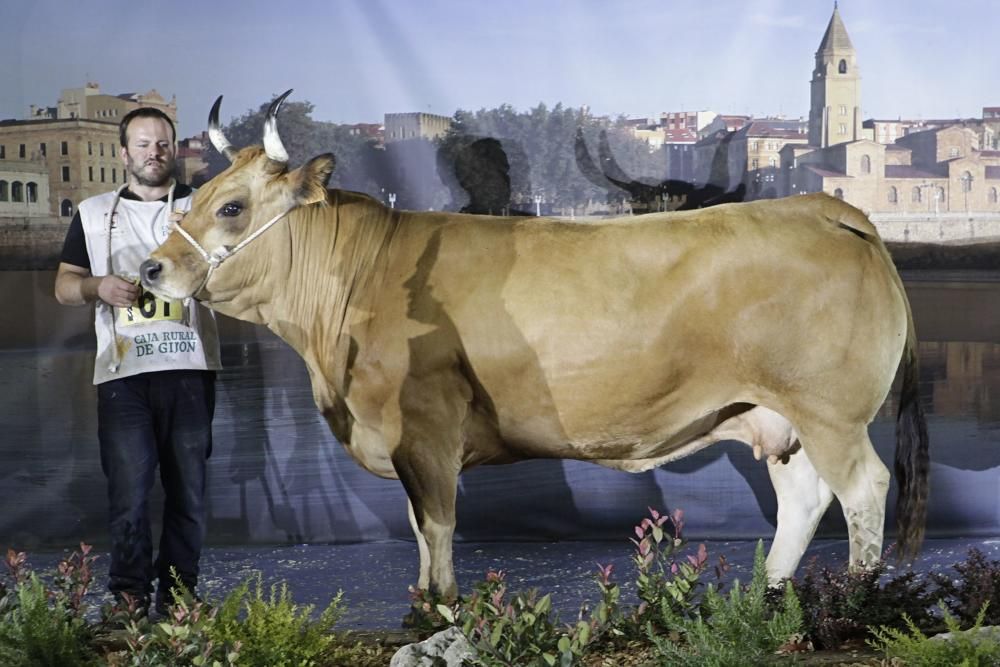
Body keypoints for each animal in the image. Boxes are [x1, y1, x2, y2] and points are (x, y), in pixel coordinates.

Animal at [139, 92, 928, 600]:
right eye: (193, 196)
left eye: (233, 206)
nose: (151, 269)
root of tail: (821, 206)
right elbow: (418, 533)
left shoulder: (424, 428)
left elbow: (437, 529)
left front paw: (438, 612)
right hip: (776, 415)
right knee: (804, 499)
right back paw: (768, 597)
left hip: (831, 412)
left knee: (863, 489)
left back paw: (855, 598)